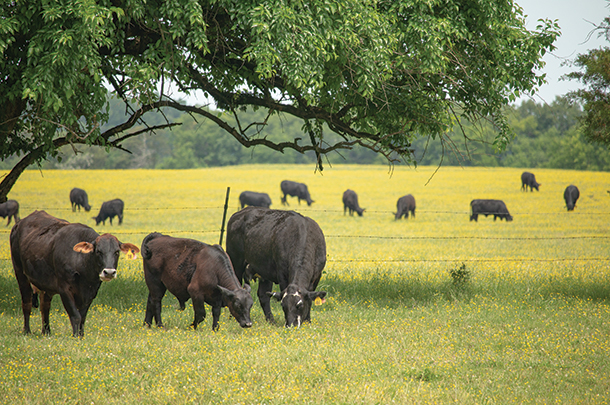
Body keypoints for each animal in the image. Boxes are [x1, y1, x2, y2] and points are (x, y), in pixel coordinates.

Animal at [10, 210, 139, 336]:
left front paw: (81, 336)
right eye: (98, 251)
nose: (109, 272)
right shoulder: (65, 290)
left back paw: (46, 332)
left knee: (44, 306)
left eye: (117, 252)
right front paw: (76, 336)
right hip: (20, 274)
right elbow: (75, 315)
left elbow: (82, 317)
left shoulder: (90, 293)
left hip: (45, 284)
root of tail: (19, 224)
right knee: (26, 303)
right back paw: (27, 331)